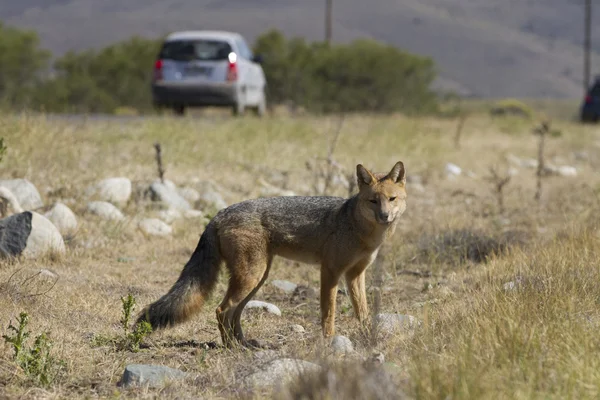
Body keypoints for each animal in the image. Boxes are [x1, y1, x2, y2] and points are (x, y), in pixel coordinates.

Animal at [136, 161, 408, 348]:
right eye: (373, 201)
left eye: (392, 199)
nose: (385, 216)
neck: (360, 230)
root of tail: (220, 213)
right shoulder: (330, 271)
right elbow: (328, 314)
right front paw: (329, 342)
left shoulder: (355, 275)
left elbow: (362, 312)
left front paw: (367, 337)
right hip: (252, 277)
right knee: (222, 310)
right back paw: (231, 348)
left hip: (257, 278)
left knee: (234, 313)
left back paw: (244, 344)